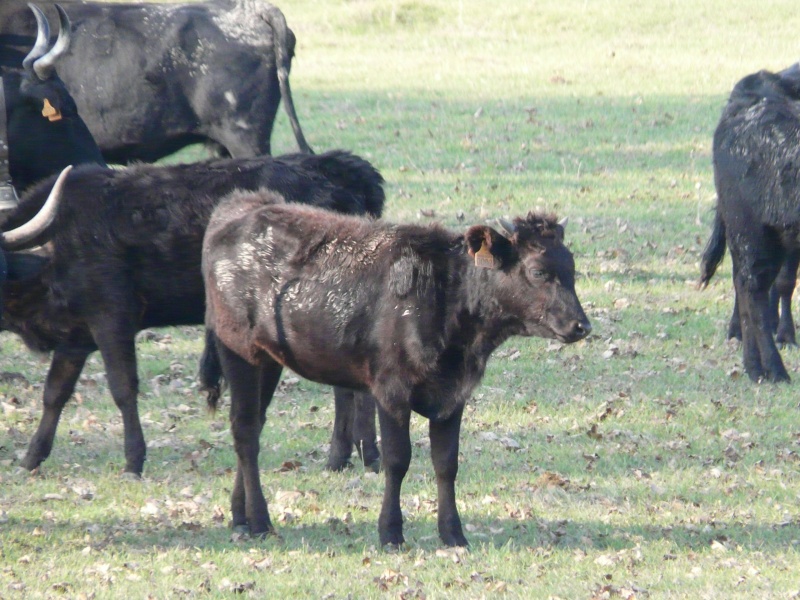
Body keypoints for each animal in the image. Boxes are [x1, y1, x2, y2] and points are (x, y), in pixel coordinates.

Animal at [3, 151, 384, 478]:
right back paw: (345, 457)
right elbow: (55, 392)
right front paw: (31, 457)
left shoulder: (111, 319)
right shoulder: (76, 336)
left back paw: (357, 456)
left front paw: (133, 461)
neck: (54, 247)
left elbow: (123, 388)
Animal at [203, 193, 592, 548]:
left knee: (254, 424)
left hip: (268, 361)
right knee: (245, 430)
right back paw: (260, 521)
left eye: (571, 268)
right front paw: (390, 532)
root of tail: (241, 204)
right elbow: (397, 459)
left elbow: (446, 463)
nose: (581, 326)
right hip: (239, 350)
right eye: (539, 271)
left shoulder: (454, 394)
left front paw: (453, 534)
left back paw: (240, 516)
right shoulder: (391, 389)